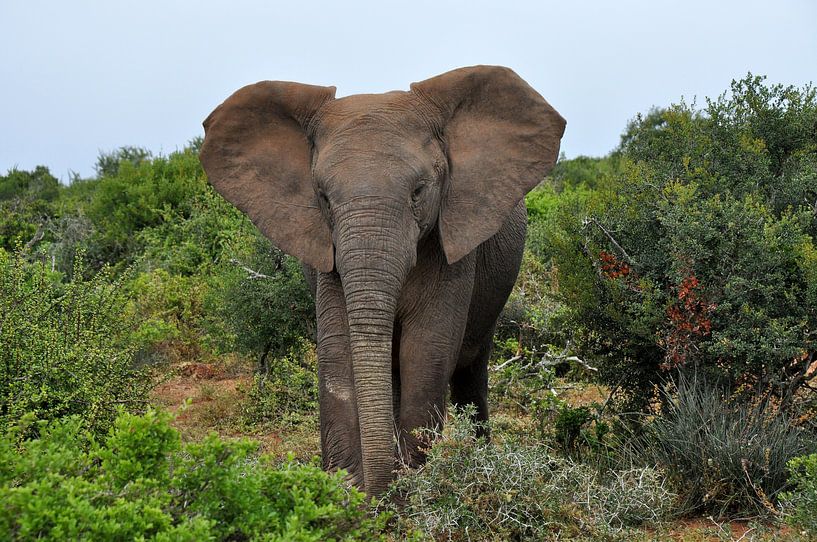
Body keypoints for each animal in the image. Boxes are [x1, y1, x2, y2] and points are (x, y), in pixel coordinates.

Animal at [201, 65, 564, 498]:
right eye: (323, 197)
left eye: (419, 191)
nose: (378, 489)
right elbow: (338, 352)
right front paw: (347, 492)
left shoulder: (453, 246)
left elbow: (426, 349)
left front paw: (410, 492)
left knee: (470, 369)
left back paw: (479, 460)